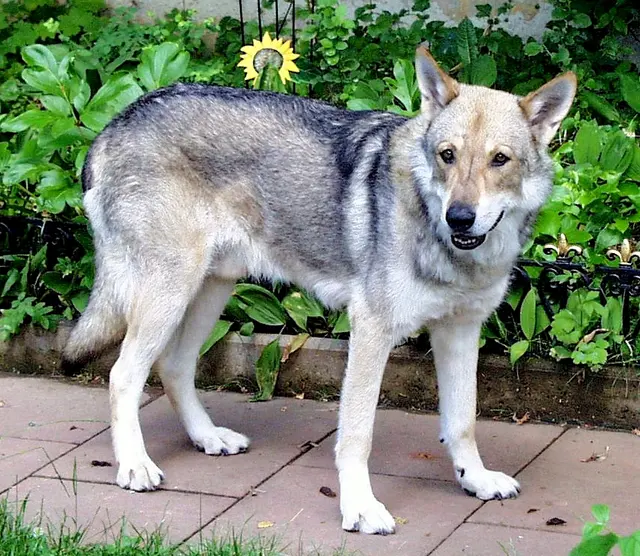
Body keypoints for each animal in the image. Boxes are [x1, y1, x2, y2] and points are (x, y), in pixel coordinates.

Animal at [63, 45, 576, 535]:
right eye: (447, 155)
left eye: (499, 159)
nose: (460, 218)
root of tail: (113, 124)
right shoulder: (370, 331)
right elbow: (357, 435)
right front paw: (360, 509)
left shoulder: (461, 332)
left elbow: (463, 421)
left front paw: (476, 480)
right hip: (170, 293)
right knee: (123, 375)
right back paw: (135, 466)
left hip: (211, 291)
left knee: (173, 367)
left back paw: (208, 438)